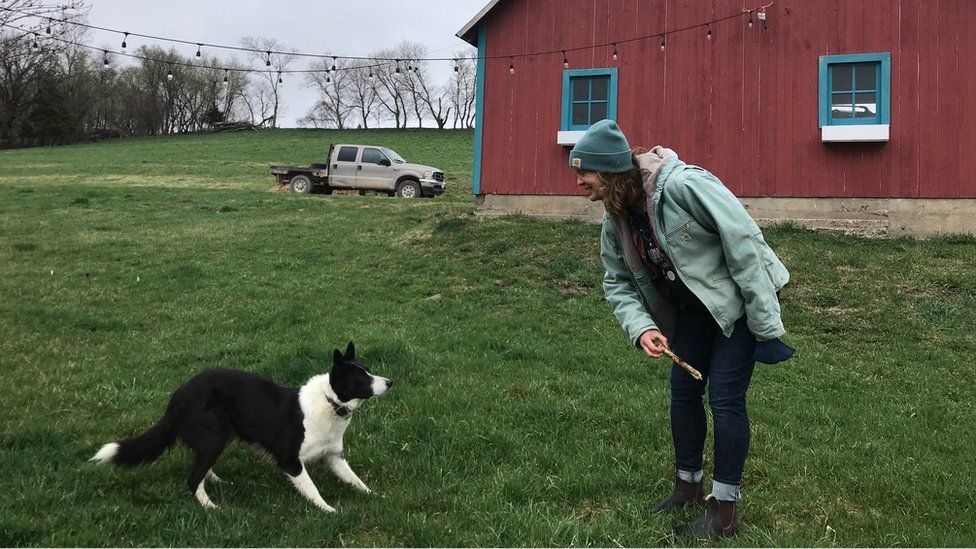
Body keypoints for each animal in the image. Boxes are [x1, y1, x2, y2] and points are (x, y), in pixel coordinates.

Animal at [89, 340, 390, 512]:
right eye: (360, 378)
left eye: (369, 370)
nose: (390, 382)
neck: (330, 401)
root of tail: (176, 397)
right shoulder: (289, 460)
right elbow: (312, 489)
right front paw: (327, 510)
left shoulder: (334, 457)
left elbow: (355, 480)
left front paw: (375, 497)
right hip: (215, 436)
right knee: (192, 477)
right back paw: (211, 507)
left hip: (218, 438)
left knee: (201, 467)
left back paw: (216, 481)